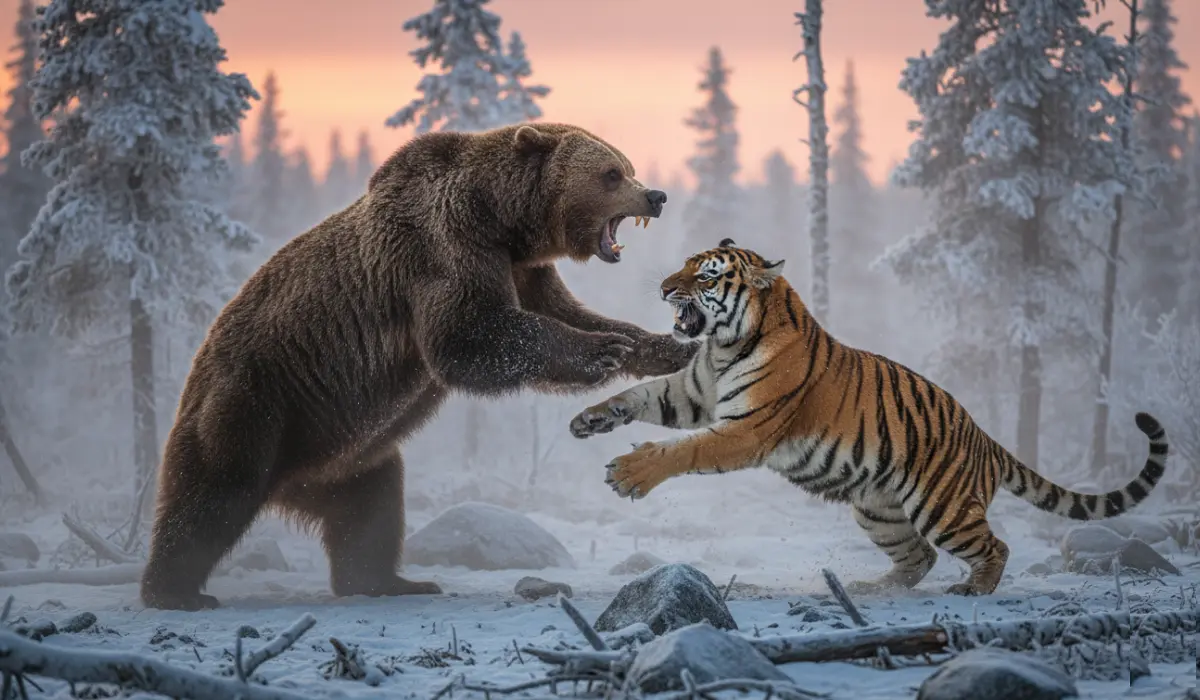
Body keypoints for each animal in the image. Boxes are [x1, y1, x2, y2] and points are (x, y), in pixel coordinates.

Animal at [139, 122, 697, 611]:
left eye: (627, 165)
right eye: (611, 173)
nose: (656, 196)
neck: (501, 219)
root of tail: (290, 484)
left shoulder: (524, 268)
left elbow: (567, 312)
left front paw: (661, 346)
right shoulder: (445, 250)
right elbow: (472, 335)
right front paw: (600, 349)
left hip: (350, 456)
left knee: (373, 511)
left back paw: (390, 581)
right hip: (256, 401)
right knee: (214, 494)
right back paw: (175, 591)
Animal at [567, 238, 1170, 596]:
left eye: (706, 277)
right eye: (685, 266)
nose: (666, 288)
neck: (723, 346)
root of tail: (984, 437)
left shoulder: (746, 429)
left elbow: (684, 449)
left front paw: (630, 474)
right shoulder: (691, 392)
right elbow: (639, 396)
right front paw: (589, 420)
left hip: (943, 507)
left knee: (993, 546)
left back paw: (974, 588)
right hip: (878, 511)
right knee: (918, 557)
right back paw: (875, 589)